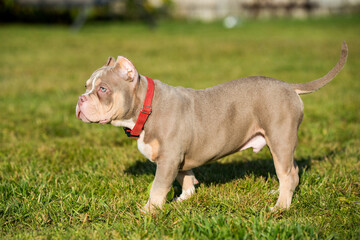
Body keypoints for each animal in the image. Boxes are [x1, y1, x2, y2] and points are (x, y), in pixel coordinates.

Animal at [76, 42, 348, 213]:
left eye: (103, 89)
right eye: (87, 86)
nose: (80, 99)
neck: (146, 106)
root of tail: (289, 86)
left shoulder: (168, 158)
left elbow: (158, 188)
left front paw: (148, 211)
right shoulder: (177, 158)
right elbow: (185, 176)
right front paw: (184, 199)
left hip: (280, 138)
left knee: (287, 172)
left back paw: (281, 207)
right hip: (281, 142)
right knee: (293, 170)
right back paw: (280, 194)